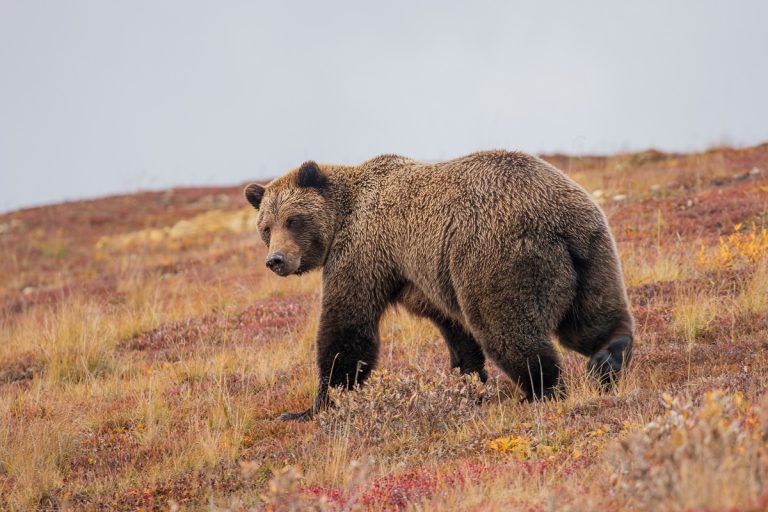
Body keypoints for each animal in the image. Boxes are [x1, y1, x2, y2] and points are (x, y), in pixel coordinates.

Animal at [243, 151, 634, 421]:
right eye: (266, 227)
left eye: (293, 220)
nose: (276, 259)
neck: (345, 214)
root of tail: (561, 220)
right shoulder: (423, 276)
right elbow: (454, 328)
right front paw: (469, 379)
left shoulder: (362, 253)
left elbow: (347, 328)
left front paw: (314, 406)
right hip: (593, 254)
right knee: (592, 318)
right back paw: (609, 357)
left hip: (496, 258)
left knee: (507, 328)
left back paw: (541, 390)